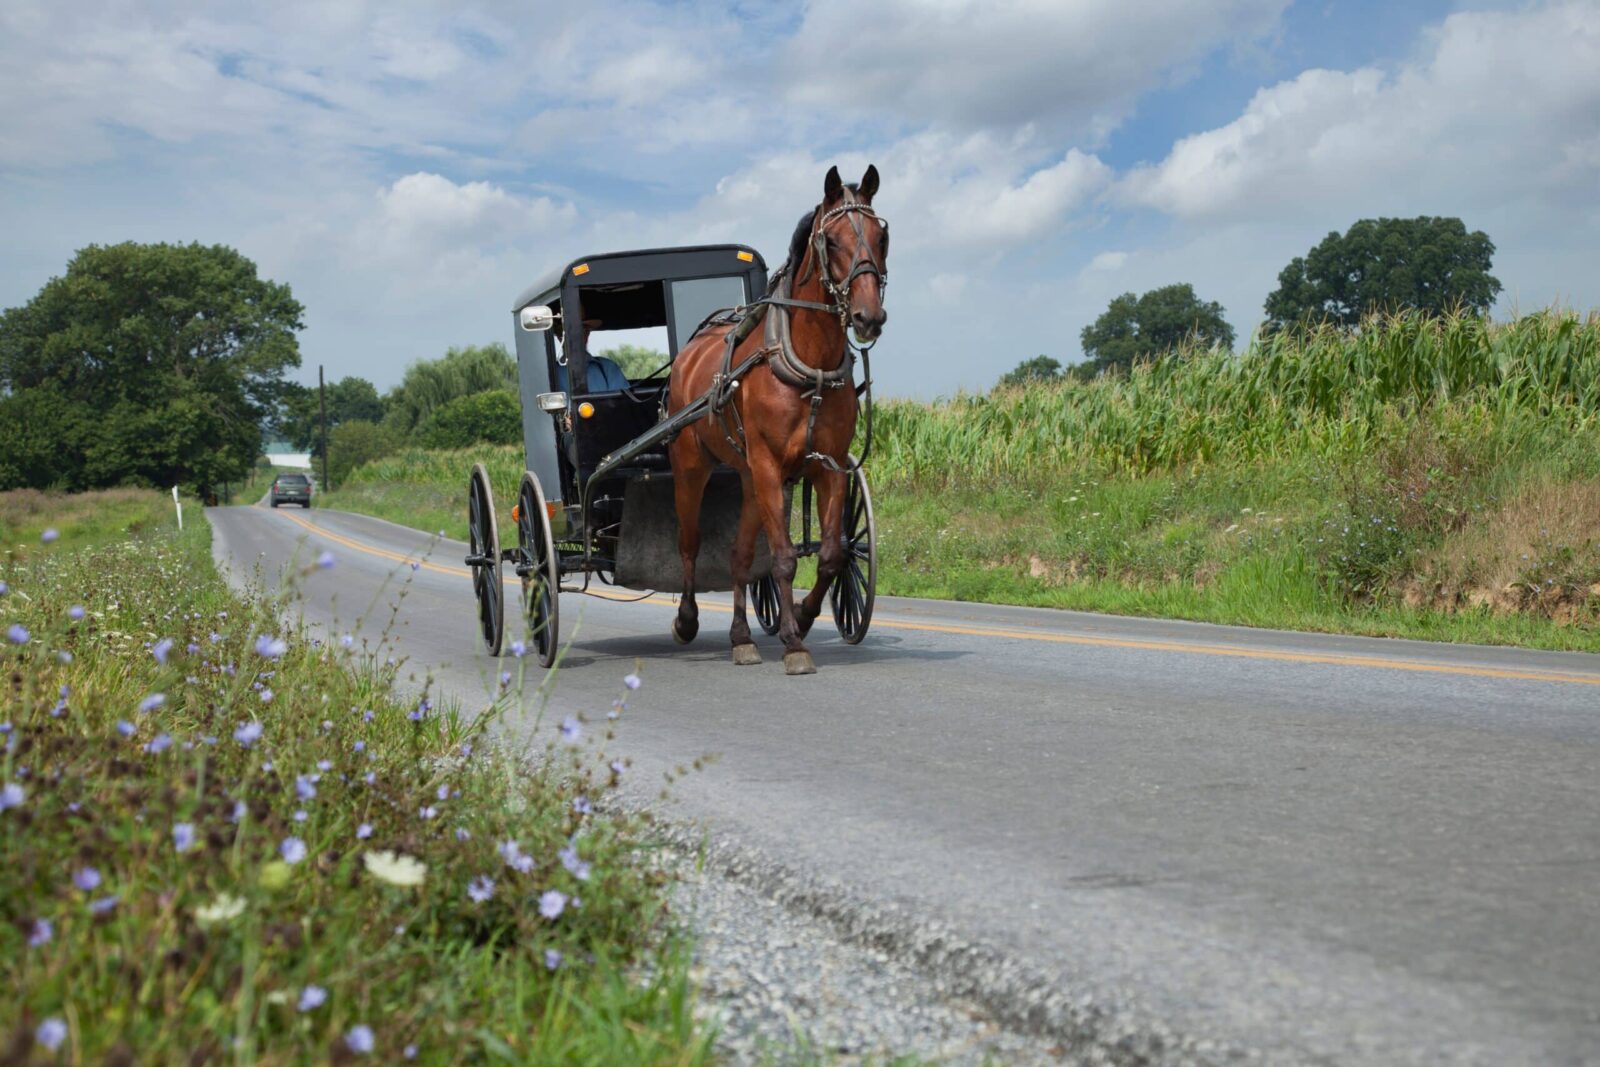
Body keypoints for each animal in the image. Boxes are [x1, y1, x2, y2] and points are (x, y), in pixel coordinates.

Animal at [665, 164, 889, 675]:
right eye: (833, 240)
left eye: (881, 235)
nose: (868, 316)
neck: (809, 363)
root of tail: (687, 355)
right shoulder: (769, 465)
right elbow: (784, 558)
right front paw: (793, 642)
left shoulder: (829, 466)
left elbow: (830, 554)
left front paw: (804, 617)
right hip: (693, 467)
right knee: (690, 542)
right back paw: (687, 620)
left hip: (750, 480)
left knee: (740, 555)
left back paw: (741, 637)